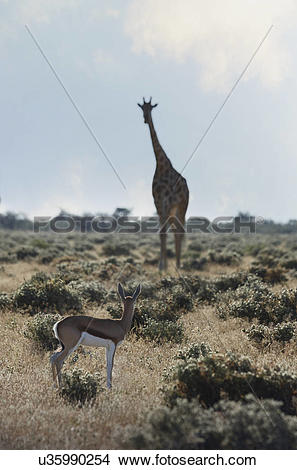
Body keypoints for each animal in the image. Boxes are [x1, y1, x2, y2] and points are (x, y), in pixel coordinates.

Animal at [138, 97, 188, 270]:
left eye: (151, 108)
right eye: (142, 108)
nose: (145, 119)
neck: (161, 165)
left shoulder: (166, 202)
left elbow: (163, 232)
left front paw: (162, 265)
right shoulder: (158, 202)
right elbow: (161, 232)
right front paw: (162, 265)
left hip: (181, 207)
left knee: (180, 231)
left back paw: (179, 264)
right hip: (173, 211)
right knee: (174, 230)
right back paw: (176, 263)